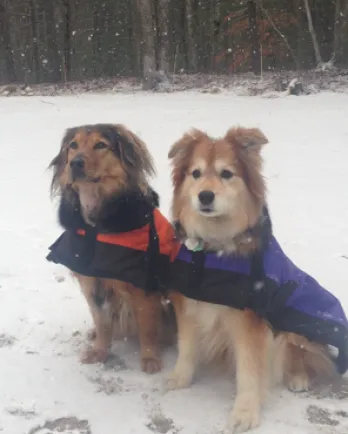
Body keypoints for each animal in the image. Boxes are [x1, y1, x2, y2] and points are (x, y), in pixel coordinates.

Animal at [47, 123, 175, 372]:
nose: (75, 162)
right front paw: (99, 351)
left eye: (101, 145)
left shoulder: (143, 287)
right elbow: (101, 321)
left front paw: (149, 358)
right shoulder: (91, 281)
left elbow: (148, 327)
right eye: (73, 145)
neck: (96, 227)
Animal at [167, 125, 338, 430]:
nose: (205, 196)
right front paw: (180, 378)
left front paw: (245, 412)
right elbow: (186, 346)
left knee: (301, 353)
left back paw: (298, 377)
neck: (212, 251)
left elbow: (249, 370)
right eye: (195, 173)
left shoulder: (249, 322)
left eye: (226, 173)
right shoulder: (188, 305)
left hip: (294, 320)